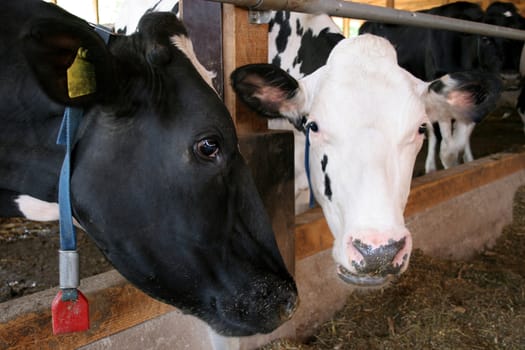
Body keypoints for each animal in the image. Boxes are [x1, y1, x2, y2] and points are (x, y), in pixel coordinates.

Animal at [360, 2, 524, 172]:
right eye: (485, 38)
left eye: (519, 40)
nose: (511, 78)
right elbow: (447, 148)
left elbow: (460, 139)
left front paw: (466, 160)